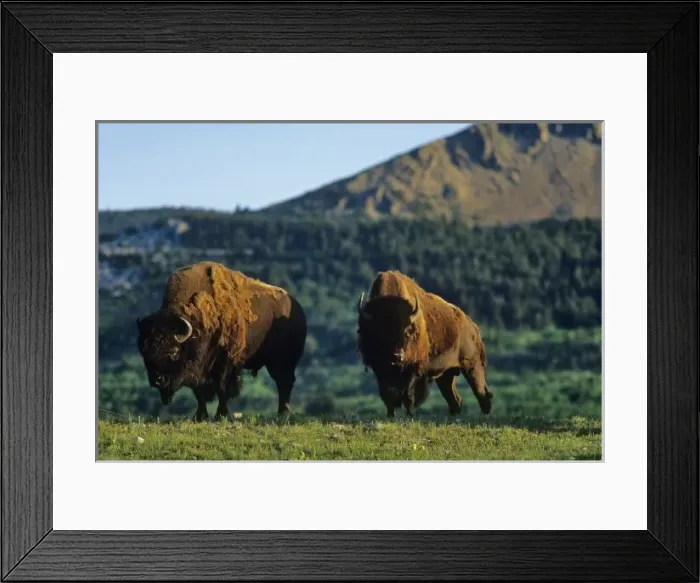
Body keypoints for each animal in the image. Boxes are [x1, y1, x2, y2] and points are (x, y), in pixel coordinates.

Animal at [136, 261, 307, 421]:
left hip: (282, 362)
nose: (157, 380)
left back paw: (283, 413)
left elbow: (221, 388)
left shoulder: (225, 362)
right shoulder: (199, 369)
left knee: (284, 382)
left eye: (173, 352)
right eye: (145, 353)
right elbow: (199, 392)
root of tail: (297, 308)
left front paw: (221, 414)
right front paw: (200, 416)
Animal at [356, 270, 493, 418]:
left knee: (482, 393)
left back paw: (485, 416)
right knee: (454, 399)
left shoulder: (414, 369)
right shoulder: (380, 370)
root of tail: (473, 327)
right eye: (381, 332)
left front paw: (410, 415)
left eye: (407, 331)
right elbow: (387, 395)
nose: (397, 356)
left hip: (473, 366)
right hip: (446, 375)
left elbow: (408, 394)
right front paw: (391, 415)